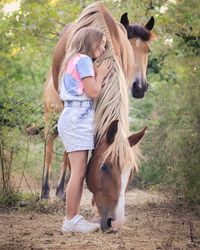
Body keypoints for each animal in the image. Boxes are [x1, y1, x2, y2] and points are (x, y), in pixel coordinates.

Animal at [41, 2, 155, 227]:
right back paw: (46, 191)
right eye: (104, 167)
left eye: (147, 50)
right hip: (52, 116)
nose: (116, 222)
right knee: (50, 149)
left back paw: (61, 191)